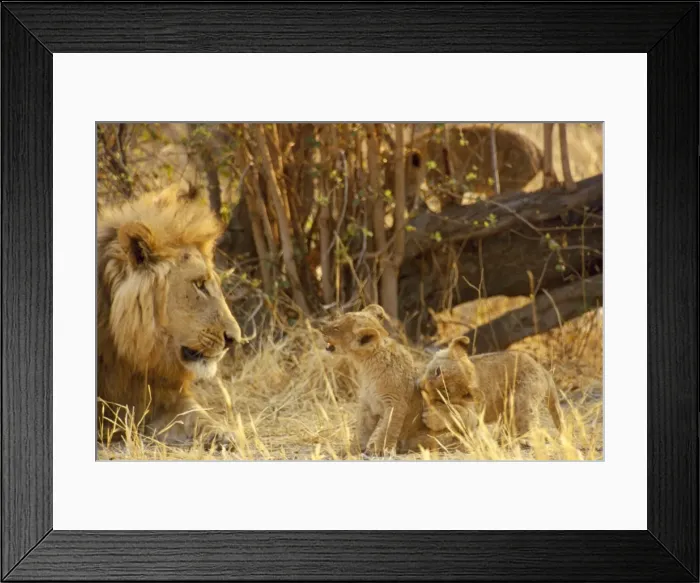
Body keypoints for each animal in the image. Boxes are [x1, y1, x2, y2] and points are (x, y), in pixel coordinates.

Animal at [319, 304, 451, 455]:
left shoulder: (396, 403)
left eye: (336, 328)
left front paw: (380, 450)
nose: (321, 327)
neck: (366, 366)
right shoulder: (368, 405)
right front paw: (352, 450)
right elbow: (361, 430)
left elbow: (387, 429)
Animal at [418, 337, 563, 440]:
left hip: (522, 398)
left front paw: (431, 417)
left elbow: (456, 413)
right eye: (437, 371)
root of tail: (542, 369)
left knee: (529, 421)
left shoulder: (475, 413)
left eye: (445, 392)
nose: (423, 388)